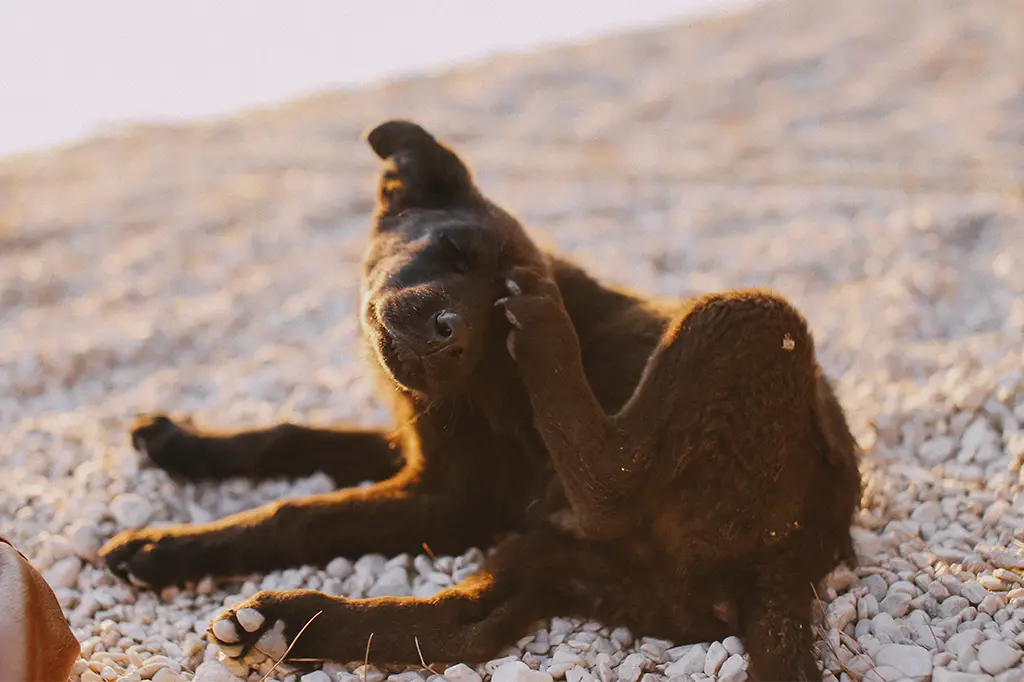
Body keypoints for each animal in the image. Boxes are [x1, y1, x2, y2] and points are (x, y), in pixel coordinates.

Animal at [99, 119, 860, 675]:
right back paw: (290, 625)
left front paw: (164, 541)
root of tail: (792, 561)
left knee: (610, 485)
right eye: (454, 250)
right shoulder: (418, 449)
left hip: (749, 318)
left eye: (494, 314)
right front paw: (178, 451)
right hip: (571, 562)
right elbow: (294, 437)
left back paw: (549, 339)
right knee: (467, 627)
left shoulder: (449, 495)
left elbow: (302, 514)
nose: (449, 336)